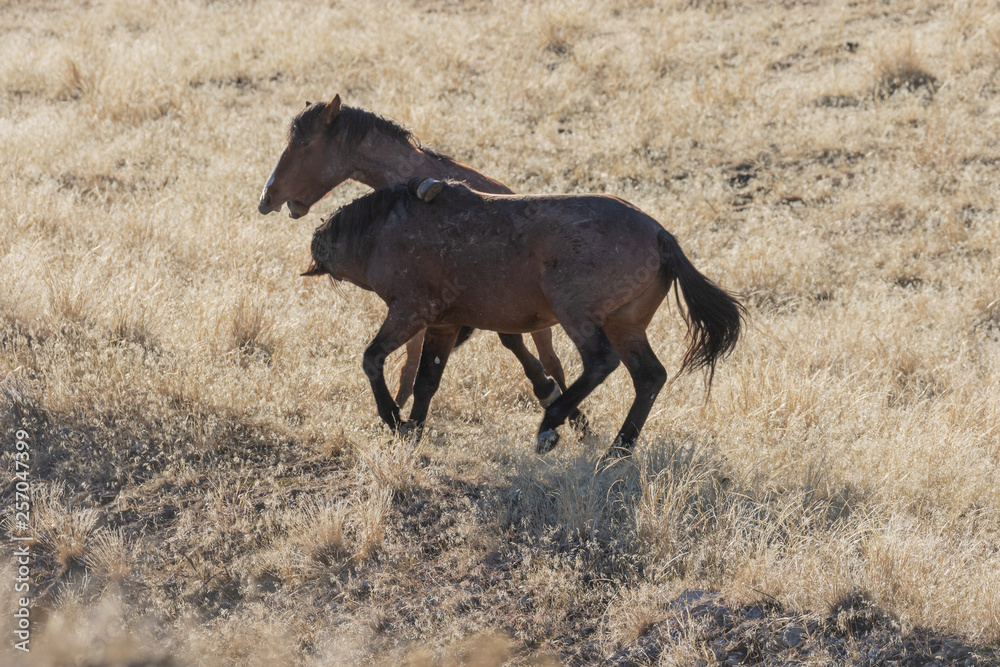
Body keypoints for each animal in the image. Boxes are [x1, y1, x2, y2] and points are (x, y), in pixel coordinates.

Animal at [302, 179, 744, 460]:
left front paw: (394, 420)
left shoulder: (410, 312)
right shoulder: (444, 327)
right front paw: (414, 431)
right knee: (650, 376)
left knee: (601, 362)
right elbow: (427, 380)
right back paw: (618, 450)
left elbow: (372, 359)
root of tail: (660, 235)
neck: (387, 228)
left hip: (577, 314)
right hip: (625, 325)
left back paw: (550, 425)